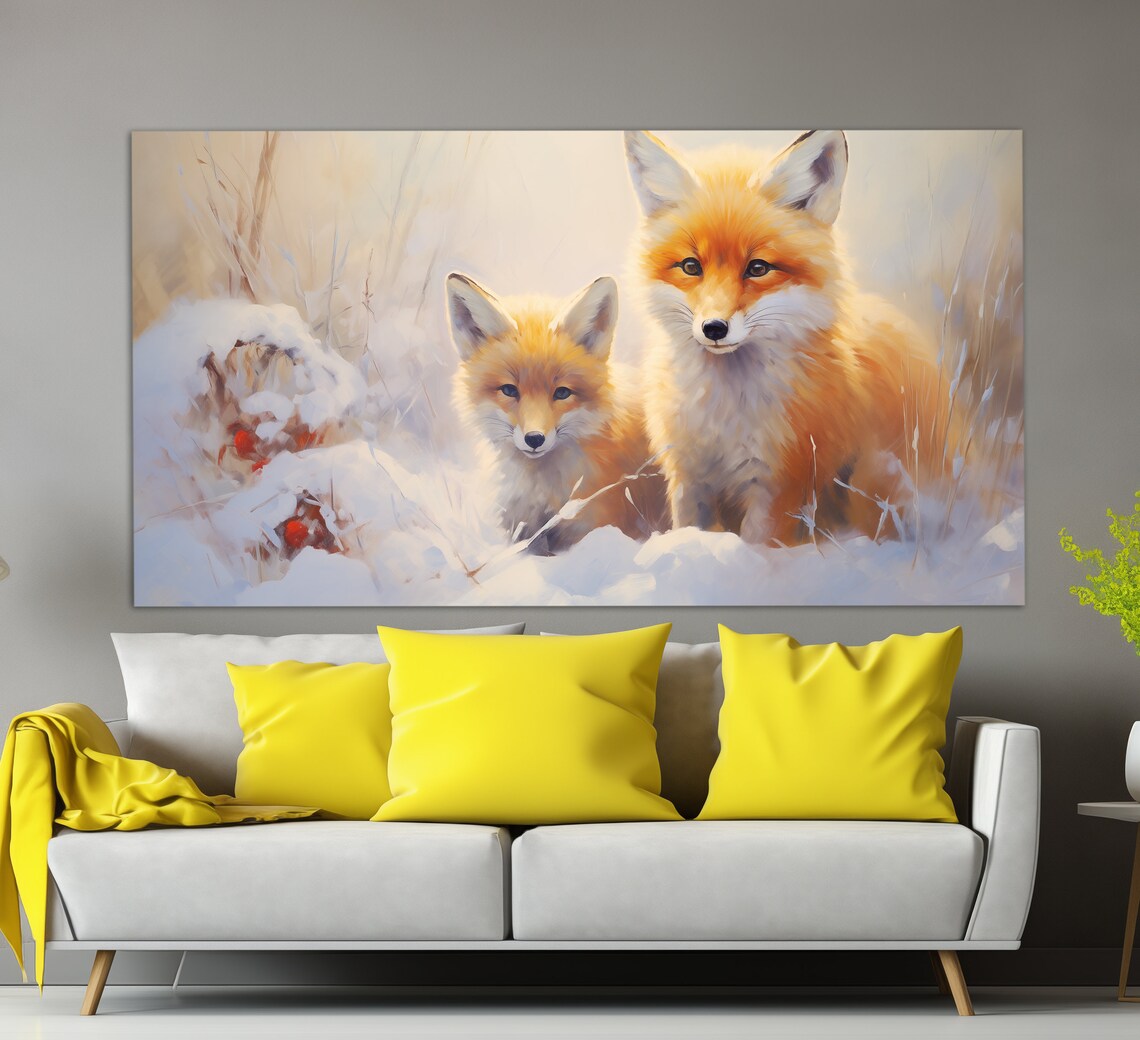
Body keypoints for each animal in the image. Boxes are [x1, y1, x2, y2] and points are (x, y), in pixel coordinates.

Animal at [447, 272, 665, 555]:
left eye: (562, 393)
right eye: (509, 390)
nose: (534, 439)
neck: (541, 493)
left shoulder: (595, 524)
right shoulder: (521, 530)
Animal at [624, 129, 966, 547]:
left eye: (758, 268)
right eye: (691, 266)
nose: (714, 329)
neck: (724, 414)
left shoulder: (781, 482)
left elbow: (758, 547)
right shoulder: (689, 477)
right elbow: (690, 531)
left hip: (877, 474)